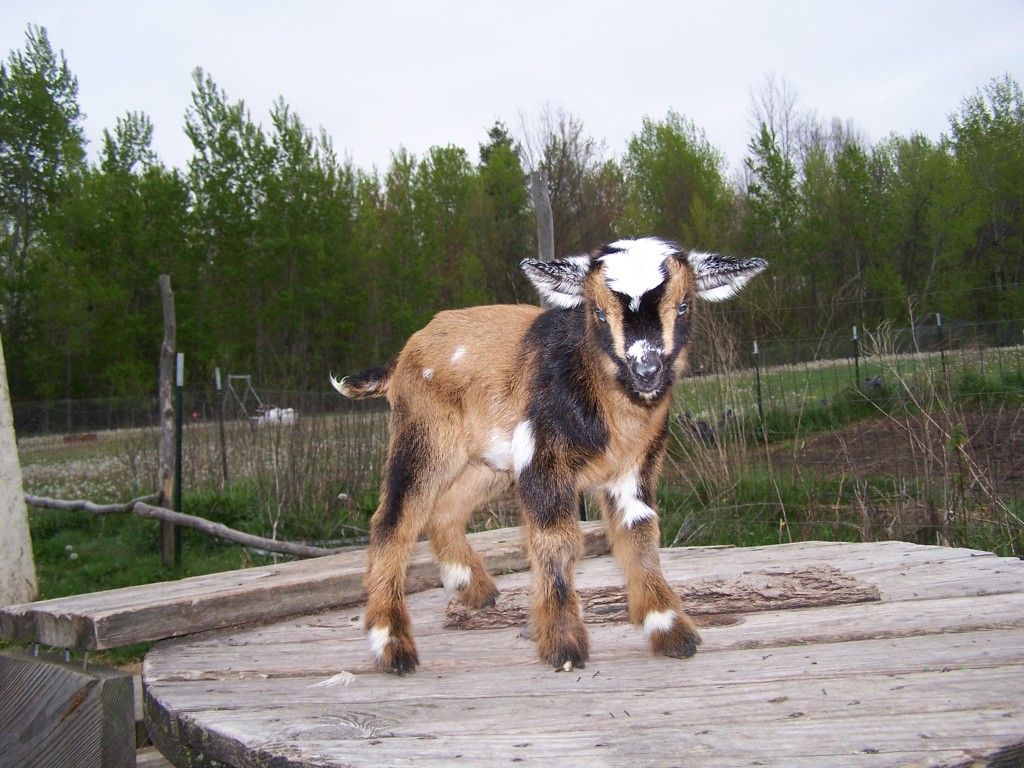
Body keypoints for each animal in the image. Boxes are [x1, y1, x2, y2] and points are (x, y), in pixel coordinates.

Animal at [332, 237, 766, 674]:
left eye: (683, 305)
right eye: (597, 311)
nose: (646, 370)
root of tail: (403, 356)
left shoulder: (633, 468)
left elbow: (639, 537)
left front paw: (669, 629)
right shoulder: (541, 456)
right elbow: (556, 540)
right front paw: (563, 644)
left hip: (486, 461)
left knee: (445, 510)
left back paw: (474, 588)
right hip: (424, 436)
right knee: (393, 521)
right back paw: (391, 643)